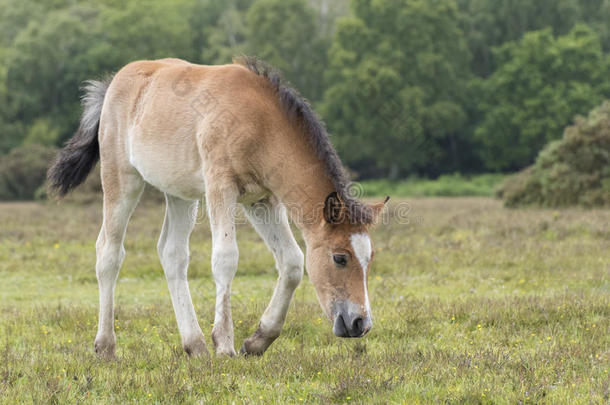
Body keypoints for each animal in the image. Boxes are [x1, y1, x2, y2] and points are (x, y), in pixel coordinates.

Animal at [50, 56, 388, 356]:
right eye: (340, 258)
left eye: (369, 258)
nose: (359, 323)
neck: (259, 122)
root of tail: (114, 82)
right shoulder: (220, 188)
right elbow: (225, 258)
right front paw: (224, 344)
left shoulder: (262, 200)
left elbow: (292, 261)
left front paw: (258, 340)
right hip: (122, 179)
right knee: (109, 252)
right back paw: (106, 346)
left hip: (181, 195)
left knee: (172, 254)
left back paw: (195, 345)